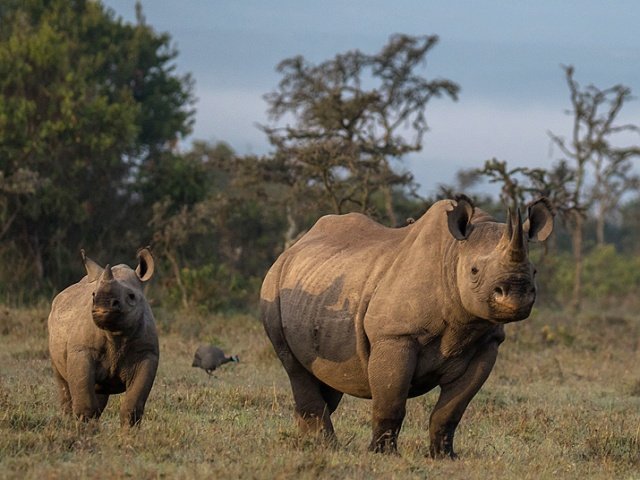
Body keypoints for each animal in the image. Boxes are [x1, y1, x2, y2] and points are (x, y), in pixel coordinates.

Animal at [48, 248, 159, 426]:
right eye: (93, 295)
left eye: (131, 296)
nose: (102, 304)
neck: (116, 334)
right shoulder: (82, 351)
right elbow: (85, 402)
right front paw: (84, 430)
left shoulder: (147, 354)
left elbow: (132, 406)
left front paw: (128, 433)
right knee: (63, 383)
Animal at [261, 196, 554, 458]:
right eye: (473, 271)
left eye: (535, 272)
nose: (516, 295)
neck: (453, 255)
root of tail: (294, 247)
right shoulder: (395, 335)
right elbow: (391, 402)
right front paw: (382, 454)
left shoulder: (486, 344)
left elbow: (451, 409)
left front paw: (444, 456)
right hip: (273, 286)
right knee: (295, 367)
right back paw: (324, 447)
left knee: (325, 377)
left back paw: (308, 443)